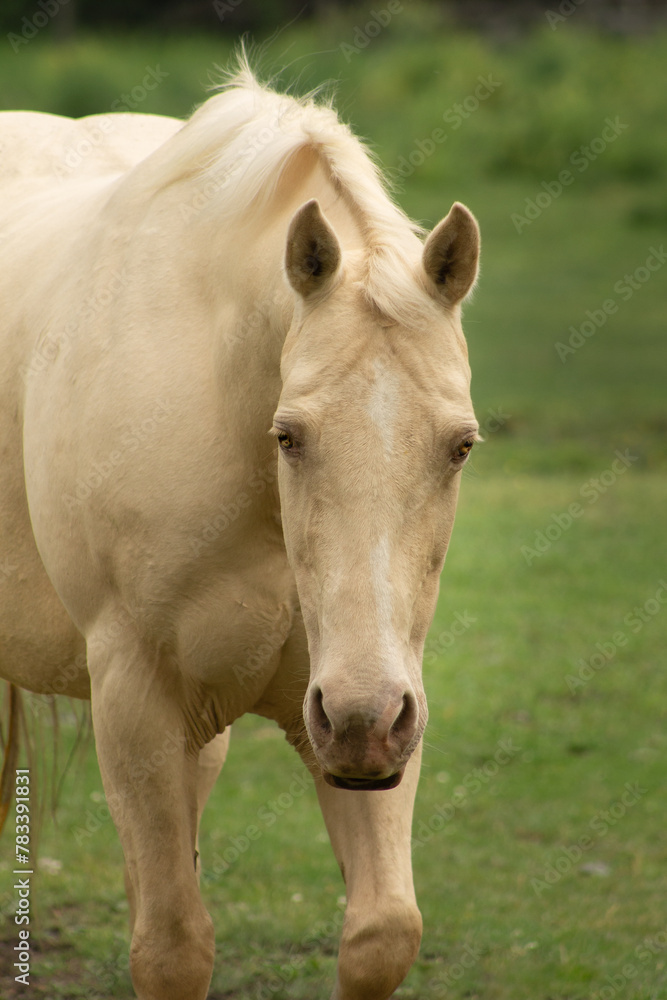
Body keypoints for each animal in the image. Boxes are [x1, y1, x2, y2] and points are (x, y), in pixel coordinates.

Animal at [0, 62, 480, 1000]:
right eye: (288, 435)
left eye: (460, 445)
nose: (364, 719)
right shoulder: (136, 699)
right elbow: (172, 949)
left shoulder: (365, 712)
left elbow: (381, 933)